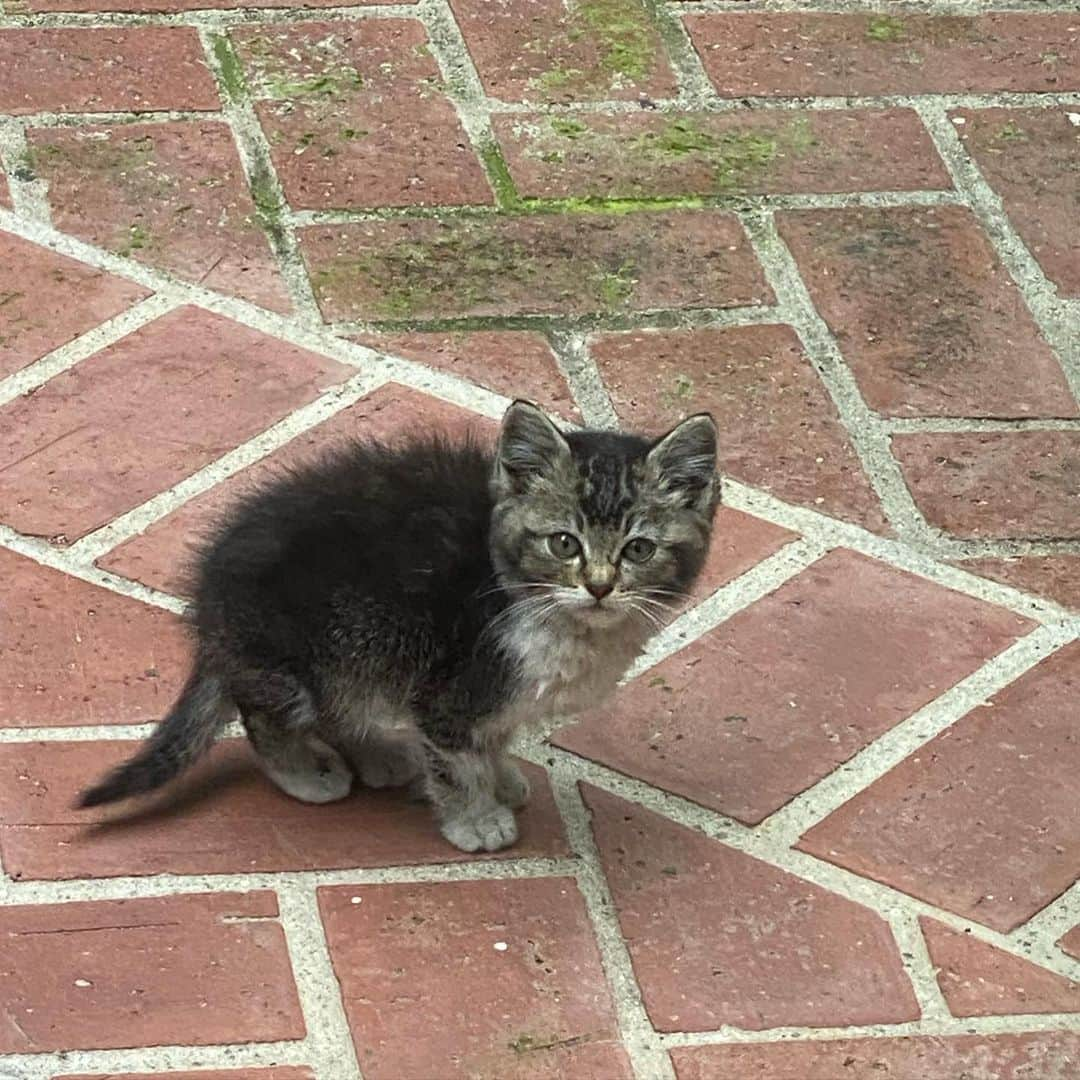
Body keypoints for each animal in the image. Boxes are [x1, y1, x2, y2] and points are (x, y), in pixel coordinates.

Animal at [79, 399, 721, 851]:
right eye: (564, 543)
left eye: (639, 549)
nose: (600, 584)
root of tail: (210, 602)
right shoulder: (453, 688)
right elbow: (456, 760)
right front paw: (476, 818)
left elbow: (492, 738)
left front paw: (501, 777)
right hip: (303, 656)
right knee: (266, 714)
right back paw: (306, 773)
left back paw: (377, 755)